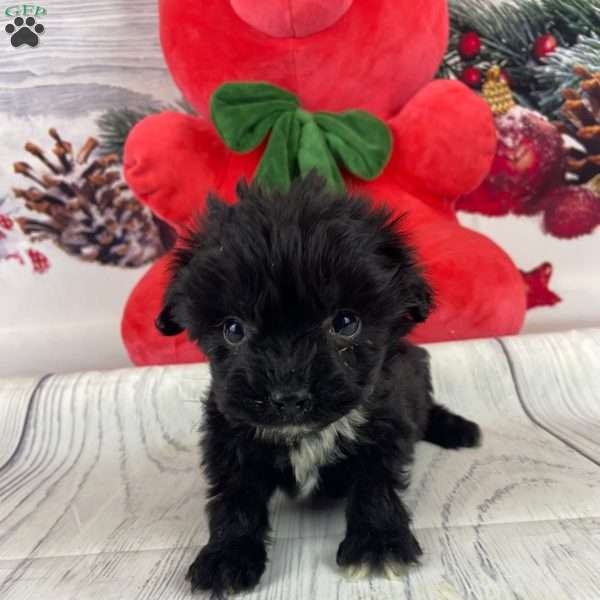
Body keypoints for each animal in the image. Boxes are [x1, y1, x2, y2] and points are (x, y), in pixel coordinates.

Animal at [157, 173, 480, 596]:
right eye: (233, 329)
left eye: (345, 323)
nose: (289, 397)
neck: (308, 435)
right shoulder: (229, 437)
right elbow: (234, 496)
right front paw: (226, 556)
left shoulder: (385, 423)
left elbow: (375, 483)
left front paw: (378, 544)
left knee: (428, 411)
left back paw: (459, 429)